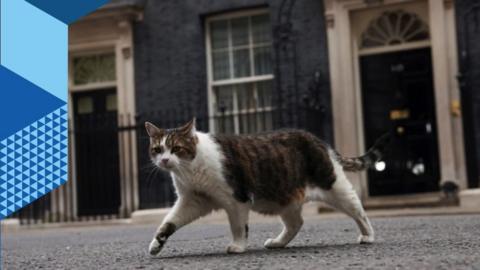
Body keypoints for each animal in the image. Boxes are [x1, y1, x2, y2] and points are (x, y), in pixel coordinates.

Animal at [145, 118, 390, 255]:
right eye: (157, 149)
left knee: (358, 210)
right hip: (285, 198)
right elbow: (168, 223)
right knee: (296, 223)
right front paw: (156, 244)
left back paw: (368, 236)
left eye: (176, 149)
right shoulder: (192, 201)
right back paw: (278, 243)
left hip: (334, 187)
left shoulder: (236, 200)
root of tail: (321, 142)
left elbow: (238, 227)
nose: (164, 160)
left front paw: (238, 246)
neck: (190, 170)